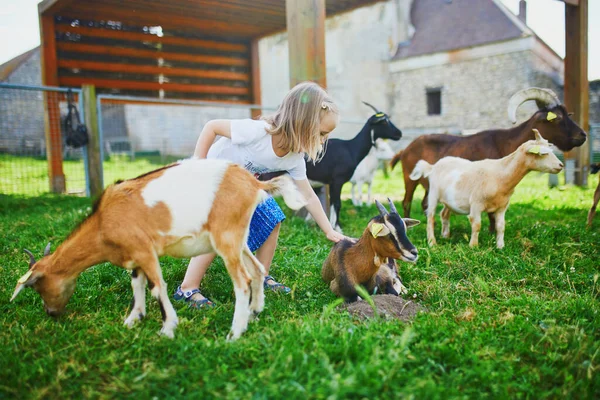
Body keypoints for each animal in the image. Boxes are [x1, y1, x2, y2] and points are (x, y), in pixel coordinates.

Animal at [10, 159, 304, 340]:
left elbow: (157, 286)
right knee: (257, 270)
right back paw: (254, 314)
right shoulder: (135, 256)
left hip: (226, 237)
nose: (51, 313)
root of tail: (255, 184)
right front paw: (133, 320)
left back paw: (234, 333)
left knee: (242, 281)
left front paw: (167, 329)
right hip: (238, 239)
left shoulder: (145, 251)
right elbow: (137, 285)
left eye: (39, 286)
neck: (103, 222)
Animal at [308, 102, 400, 231]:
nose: (399, 133)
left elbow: (333, 204)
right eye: (384, 122)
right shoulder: (337, 181)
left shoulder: (331, 183)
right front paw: (338, 228)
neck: (351, 148)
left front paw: (334, 226)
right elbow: (337, 203)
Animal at [410, 130, 564, 248]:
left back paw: (445, 235)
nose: (561, 165)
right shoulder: (476, 204)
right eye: (542, 153)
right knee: (430, 216)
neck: (500, 175)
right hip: (433, 194)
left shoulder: (502, 207)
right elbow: (476, 224)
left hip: (450, 200)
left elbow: (501, 226)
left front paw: (500, 246)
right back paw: (432, 242)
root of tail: (433, 166)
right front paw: (473, 246)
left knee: (444, 214)